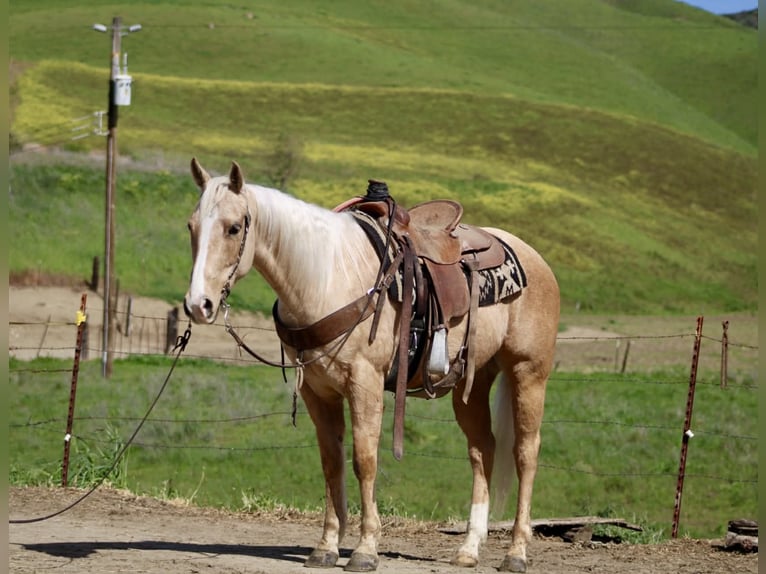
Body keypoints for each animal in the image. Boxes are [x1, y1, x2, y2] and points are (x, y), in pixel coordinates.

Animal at [183, 158, 560, 573]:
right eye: (191, 226)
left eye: (234, 227)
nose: (198, 304)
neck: (326, 278)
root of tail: (533, 257)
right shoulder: (317, 391)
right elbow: (331, 463)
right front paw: (326, 547)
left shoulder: (364, 383)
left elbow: (364, 460)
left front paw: (365, 549)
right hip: (471, 383)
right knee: (482, 450)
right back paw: (469, 549)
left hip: (528, 372)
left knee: (526, 453)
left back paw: (516, 552)